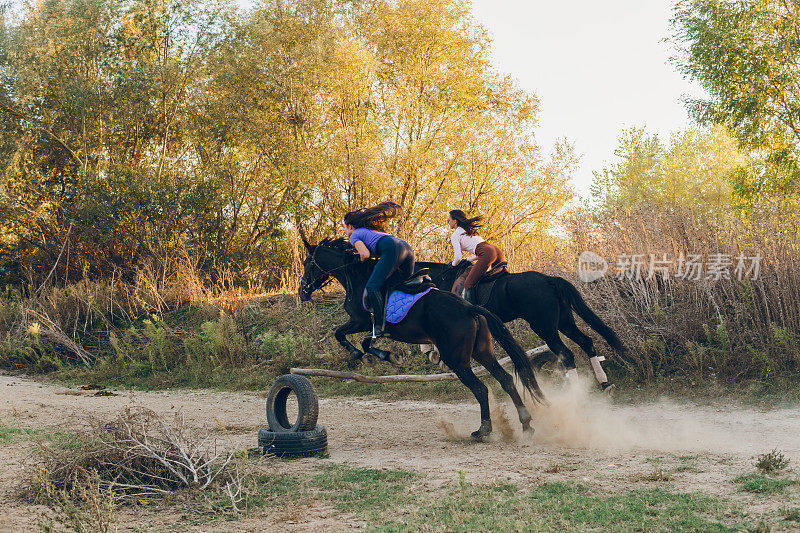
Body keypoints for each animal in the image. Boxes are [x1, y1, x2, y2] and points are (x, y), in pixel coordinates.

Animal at [296, 236, 548, 436]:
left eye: (307, 263)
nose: (302, 291)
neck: (357, 278)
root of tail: (468, 307)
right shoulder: (366, 324)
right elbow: (360, 339)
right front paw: (384, 356)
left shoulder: (362, 321)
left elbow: (347, 336)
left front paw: (374, 355)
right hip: (482, 351)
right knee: (506, 379)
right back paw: (526, 424)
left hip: (457, 359)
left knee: (480, 388)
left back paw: (484, 430)